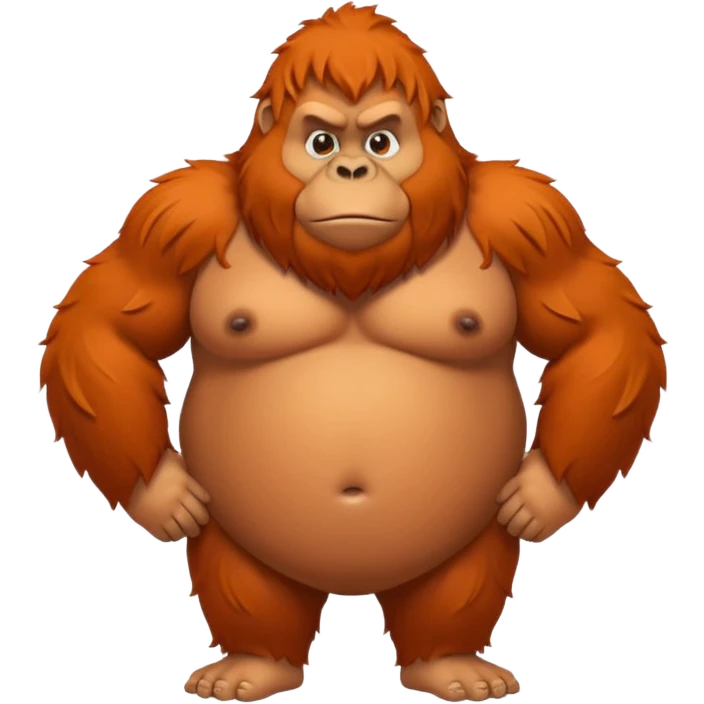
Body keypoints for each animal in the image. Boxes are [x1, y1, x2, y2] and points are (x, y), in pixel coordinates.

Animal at [38, 3, 668, 702]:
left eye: (380, 143)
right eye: (321, 143)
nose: (351, 171)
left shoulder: (528, 214)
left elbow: (598, 328)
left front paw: (544, 491)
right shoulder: (176, 215)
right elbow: (108, 326)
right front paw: (160, 492)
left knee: (458, 579)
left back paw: (448, 662)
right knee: (246, 577)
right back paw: (254, 663)